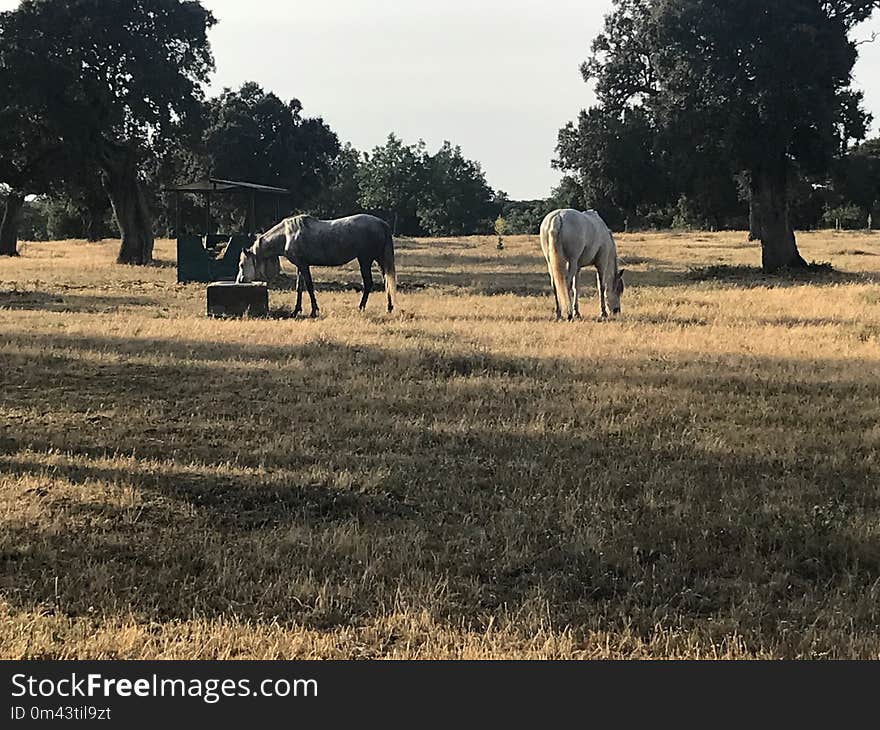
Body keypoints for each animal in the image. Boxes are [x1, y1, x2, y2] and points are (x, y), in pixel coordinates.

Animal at [235, 210, 398, 312]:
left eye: (242, 264)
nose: (240, 280)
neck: (287, 235)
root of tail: (381, 223)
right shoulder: (300, 266)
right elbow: (299, 287)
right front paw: (296, 310)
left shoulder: (304, 265)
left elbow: (309, 286)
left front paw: (314, 311)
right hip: (378, 260)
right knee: (386, 280)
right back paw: (389, 308)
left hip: (365, 260)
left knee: (369, 283)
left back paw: (361, 308)